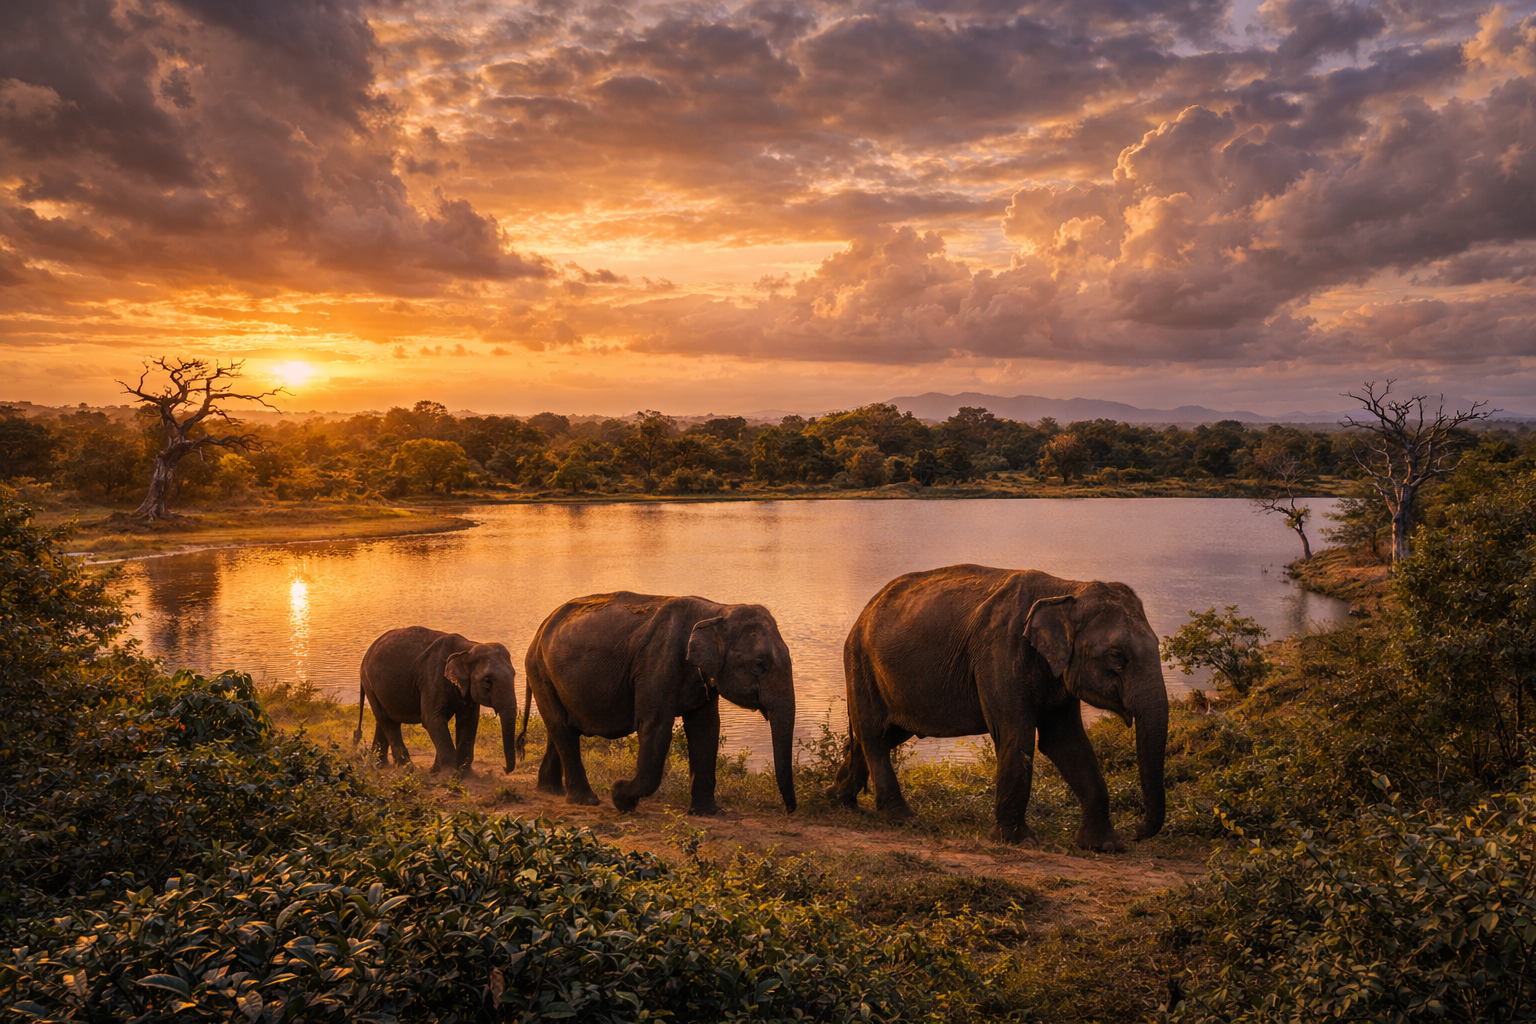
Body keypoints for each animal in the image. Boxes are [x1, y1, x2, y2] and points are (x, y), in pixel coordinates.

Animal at [355, 626, 518, 775]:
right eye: (487, 681)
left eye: (514, 675)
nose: (504, 768)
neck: (468, 647)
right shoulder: (431, 678)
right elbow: (432, 719)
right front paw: (450, 775)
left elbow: (469, 720)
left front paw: (462, 772)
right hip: (369, 683)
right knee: (388, 721)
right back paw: (408, 769)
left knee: (383, 719)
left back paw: (379, 765)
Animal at [517, 592, 797, 815]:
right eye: (759, 664)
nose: (789, 811)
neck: (717, 610)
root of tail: (539, 631)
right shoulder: (657, 663)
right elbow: (655, 727)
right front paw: (620, 797)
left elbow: (706, 729)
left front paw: (710, 813)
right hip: (540, 672)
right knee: (562, 729)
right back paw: (586, 801)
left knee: (561, 729)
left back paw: (550, 790)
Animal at [829, 565, 1168, 852]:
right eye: (1117, 656)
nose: (1136, 831)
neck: (1066, 588)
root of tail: (864, 612)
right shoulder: (999, 653)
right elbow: (1016, 735)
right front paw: (1018, 842)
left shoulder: (1057, 672)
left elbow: (1067, 742)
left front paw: (1105, 846)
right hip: (860, 663)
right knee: (874, 735)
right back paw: (900, 817)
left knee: (881, 736)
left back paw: (839, 799)